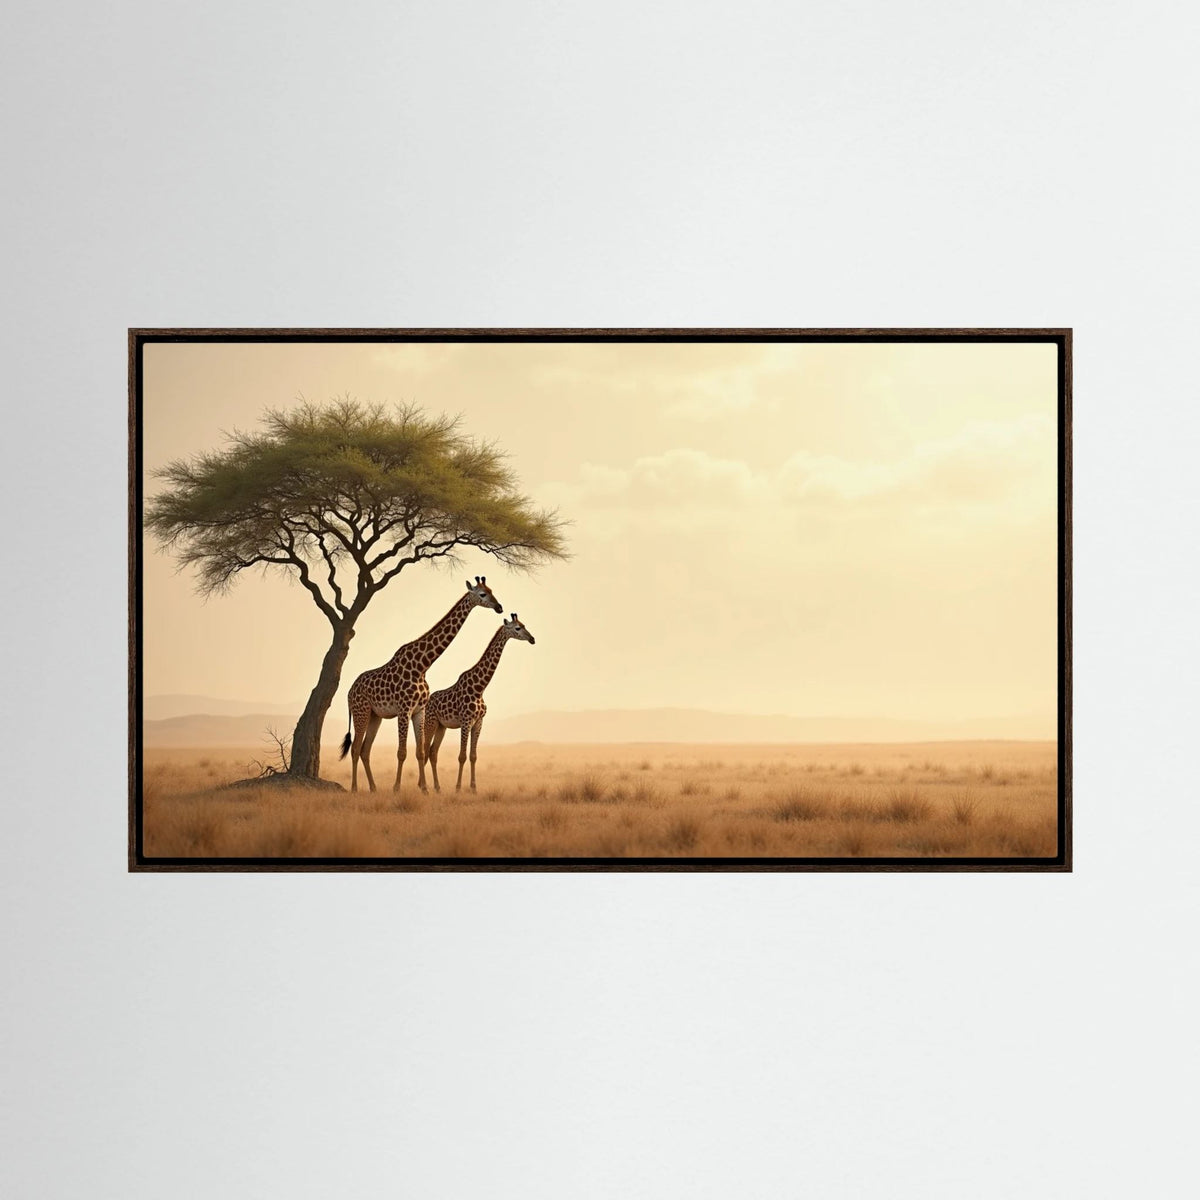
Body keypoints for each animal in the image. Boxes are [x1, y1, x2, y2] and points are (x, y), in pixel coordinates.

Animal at [338, 577, 503, 793]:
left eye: (492, 590)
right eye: (482, 594)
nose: (499, 607)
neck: (422, 666)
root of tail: (349, 692)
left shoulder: (419, 710)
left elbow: (420, 752)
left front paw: (424, 789)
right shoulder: (404, 709)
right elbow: (402, 752)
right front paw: (397, 788)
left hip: (376, 716)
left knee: (366, 749)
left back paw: (373, 788)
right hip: (361, 711)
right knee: (356, 748)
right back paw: (355, 788)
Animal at [423, 613, 535, 793]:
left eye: (524, 625)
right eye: (518, 628)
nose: (532, 639)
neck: (479, 688)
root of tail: (427, 702)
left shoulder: (478, 722)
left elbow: (473, 756)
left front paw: (474, 788)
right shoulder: (466, 721)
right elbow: (462, 756)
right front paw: (458, 788)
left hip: (442, 726)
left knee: (433, 752)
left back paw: (438, 788)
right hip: (431, 722)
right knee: (425, 750)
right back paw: (424, 787)